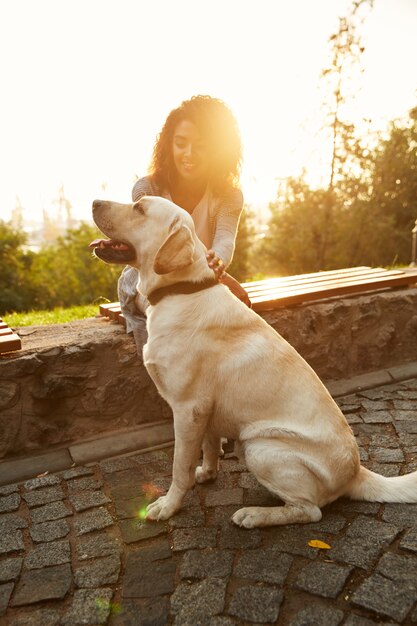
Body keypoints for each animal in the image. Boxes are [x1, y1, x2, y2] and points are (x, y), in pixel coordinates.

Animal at [92, 195, 416, 528]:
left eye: (139, 208)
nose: (94, 201)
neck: (181, 290)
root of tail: (355, 472)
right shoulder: (205, 410)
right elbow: (209, 446)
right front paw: (207, 473)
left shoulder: (187, 408)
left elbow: (180, 467)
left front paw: (169, 505)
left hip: (258, 446)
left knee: (309, 510)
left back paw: (255, 514)